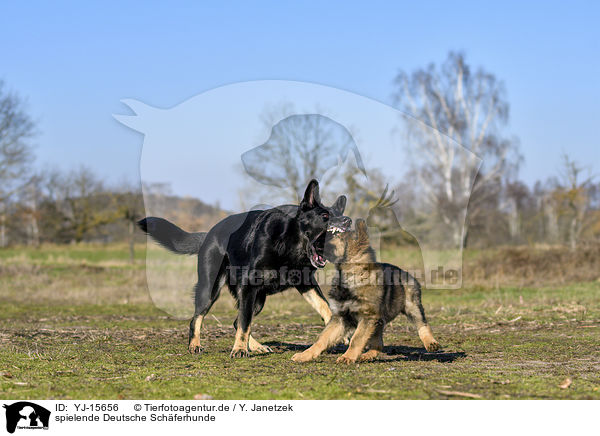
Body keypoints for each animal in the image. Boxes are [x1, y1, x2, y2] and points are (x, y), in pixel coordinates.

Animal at [139, 179, 352, 356]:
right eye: (325, 215)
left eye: (338, 215)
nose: (348, 220)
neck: (289, 245)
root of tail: (208, 234)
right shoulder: (249, 286)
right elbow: (244, 323)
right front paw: (239, 349)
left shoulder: (305, 283)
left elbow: (325, 307)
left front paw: (341, 334)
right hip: (211, 290)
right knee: (198, 318)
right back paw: (195, 345)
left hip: (257, 299)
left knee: (237, 320)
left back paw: (257, 347)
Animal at [292, 220, 438, 362]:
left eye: (334, 235)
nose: (309, 240)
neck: (352, 275)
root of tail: (405, 272)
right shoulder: (341, 317)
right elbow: (322, 339)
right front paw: (305, 355)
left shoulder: (367, 317)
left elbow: (356, 339)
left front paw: (347, 357)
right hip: (378, 321)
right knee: (378, 344)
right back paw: (367, 355)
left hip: (411, 306)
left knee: (422, 323)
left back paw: (431, 343)